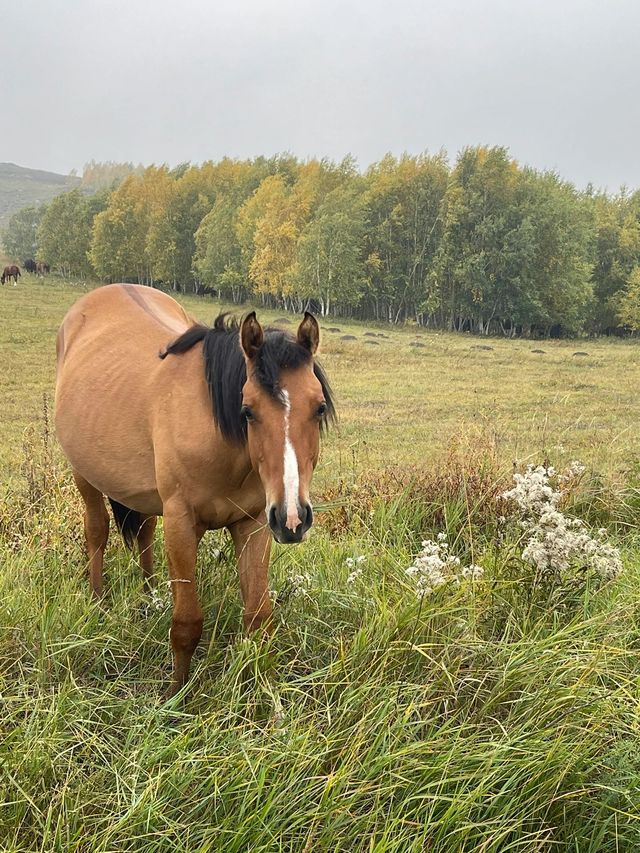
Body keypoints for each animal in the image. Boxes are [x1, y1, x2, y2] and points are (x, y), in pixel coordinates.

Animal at [56, 282, 336, 696]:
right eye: (248, 410)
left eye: (318, 408)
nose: (292, 518)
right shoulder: (181, 524)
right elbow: (187, 624)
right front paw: (175, 696)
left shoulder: (254, 524)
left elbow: (259, 617)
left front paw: (265, 695)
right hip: (84, 476)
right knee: (97, 531)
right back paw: (98, 602)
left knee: (144, 534)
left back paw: (149, 597)